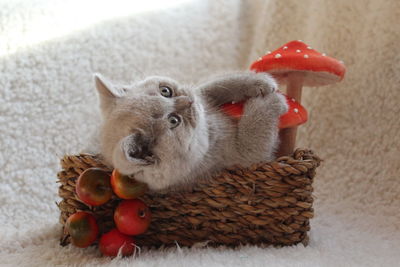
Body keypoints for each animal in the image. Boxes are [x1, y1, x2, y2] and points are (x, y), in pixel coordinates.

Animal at [94, 72, 288, 192]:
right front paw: (273, 100)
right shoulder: (241, 156)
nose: (188, 101)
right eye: (173, 121)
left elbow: (216, 85)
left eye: (165, 91)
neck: (207, 132)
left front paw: (260, 82)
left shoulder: (203, 97)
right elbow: (254, 132)